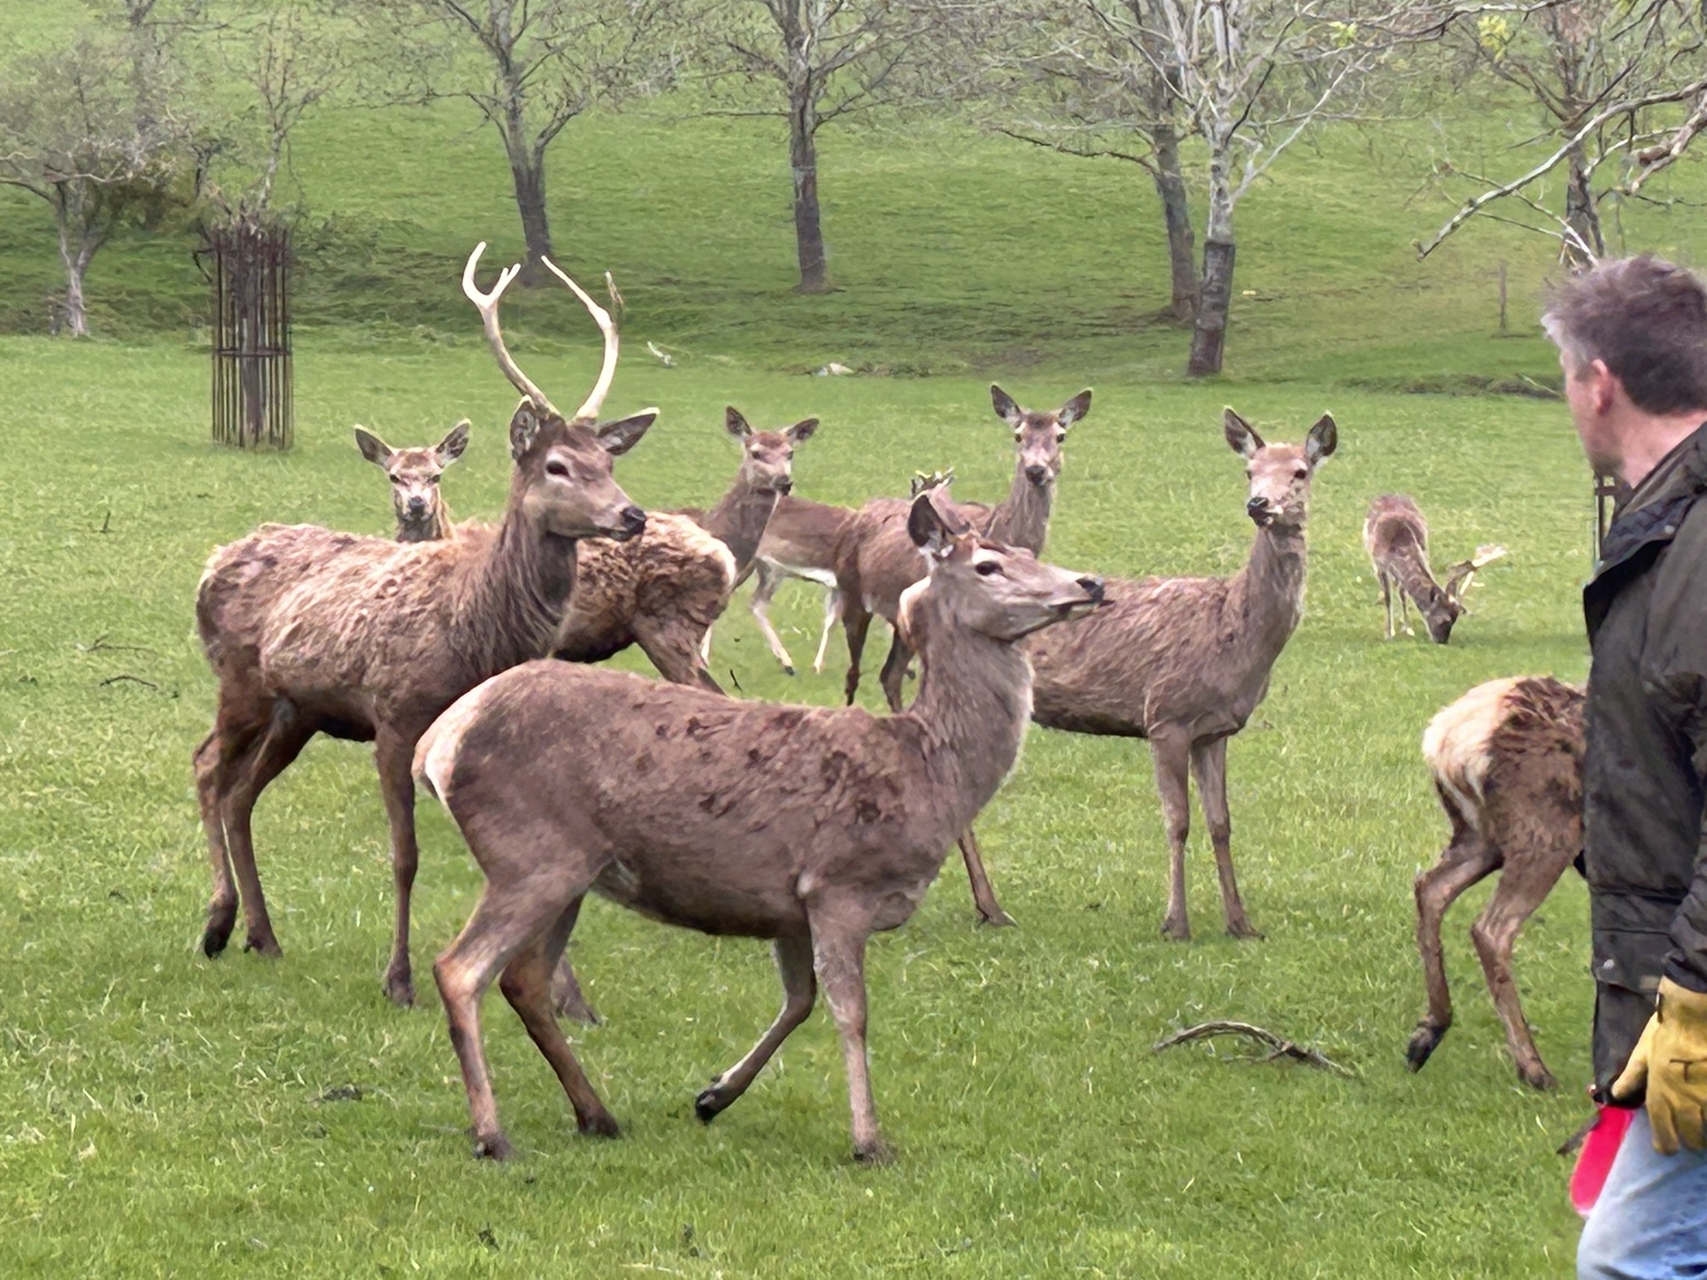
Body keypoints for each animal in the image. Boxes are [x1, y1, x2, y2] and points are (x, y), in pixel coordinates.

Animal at [193, 245, 652, 1010]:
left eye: (609, 460)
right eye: (556, 464)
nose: (632, 515)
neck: (475, 630)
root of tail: (211, 563)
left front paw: (572, 998)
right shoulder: (396, 716)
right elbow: (404, 855)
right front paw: (399, 978)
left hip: (298, 710)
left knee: (239, 795)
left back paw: (264, 934)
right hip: (241, 682)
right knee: (206, 771)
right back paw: (217, 924)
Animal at [413, 494, 1106, 1167]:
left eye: (1026, 550)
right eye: (988, 565)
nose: (1090, 583)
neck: (930, 771)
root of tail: (439, 742)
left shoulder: (787, 906)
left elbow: (798, 1002)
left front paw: (712, 1095)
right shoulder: (838, 885)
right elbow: (850, 1012)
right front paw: (868, 1139)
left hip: (573, 868)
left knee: (524, 980)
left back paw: (597, 1116)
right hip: (530, 853)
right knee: (459, 969)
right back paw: (493, 1135)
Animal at [1017, 411, 1338, 942]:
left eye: (1300, 471)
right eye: (1249, 471)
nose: (1259, 504)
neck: (1233, 636)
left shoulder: (1215, 730)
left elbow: (1221, 821)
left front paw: (1241, 923)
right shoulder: (1165, 716)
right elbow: (1178, 821)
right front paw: (1175, 923)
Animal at [1358, 494, 1508, 645]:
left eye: (1455, 619)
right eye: (1444, 620)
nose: (1442, 641)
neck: (1399, 544)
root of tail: (1389, 494)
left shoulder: (1424, 552)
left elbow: (1404, 590)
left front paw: (1406, 628)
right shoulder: (1378, 564)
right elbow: (1387, 598)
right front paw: (1388, 635)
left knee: (1401, 590)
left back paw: (1407, 627)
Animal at [1399, 675, 1584, 1085]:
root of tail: (1444, 737)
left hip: (1481, 836)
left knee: (1431, 888)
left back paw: (1428, 1032)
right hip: (1545, 835)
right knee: (1491, 929)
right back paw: (1533, 1068)